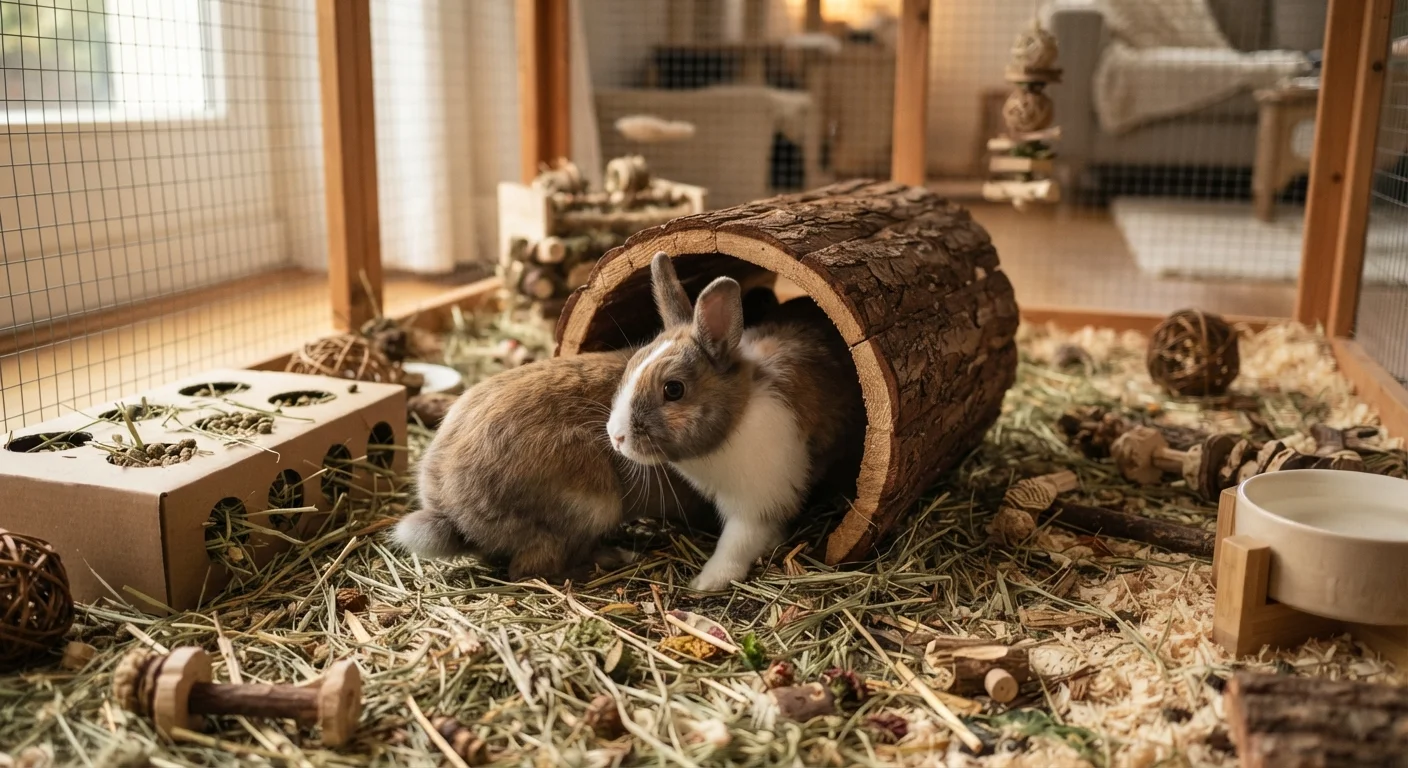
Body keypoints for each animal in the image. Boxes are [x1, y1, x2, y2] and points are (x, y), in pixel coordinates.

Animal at [606, 252, 865, 591]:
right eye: (631, 366)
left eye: (673, 389)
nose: (616, 437)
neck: (737, 418)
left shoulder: (757, 504)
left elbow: (736, 543)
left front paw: (706, 582)